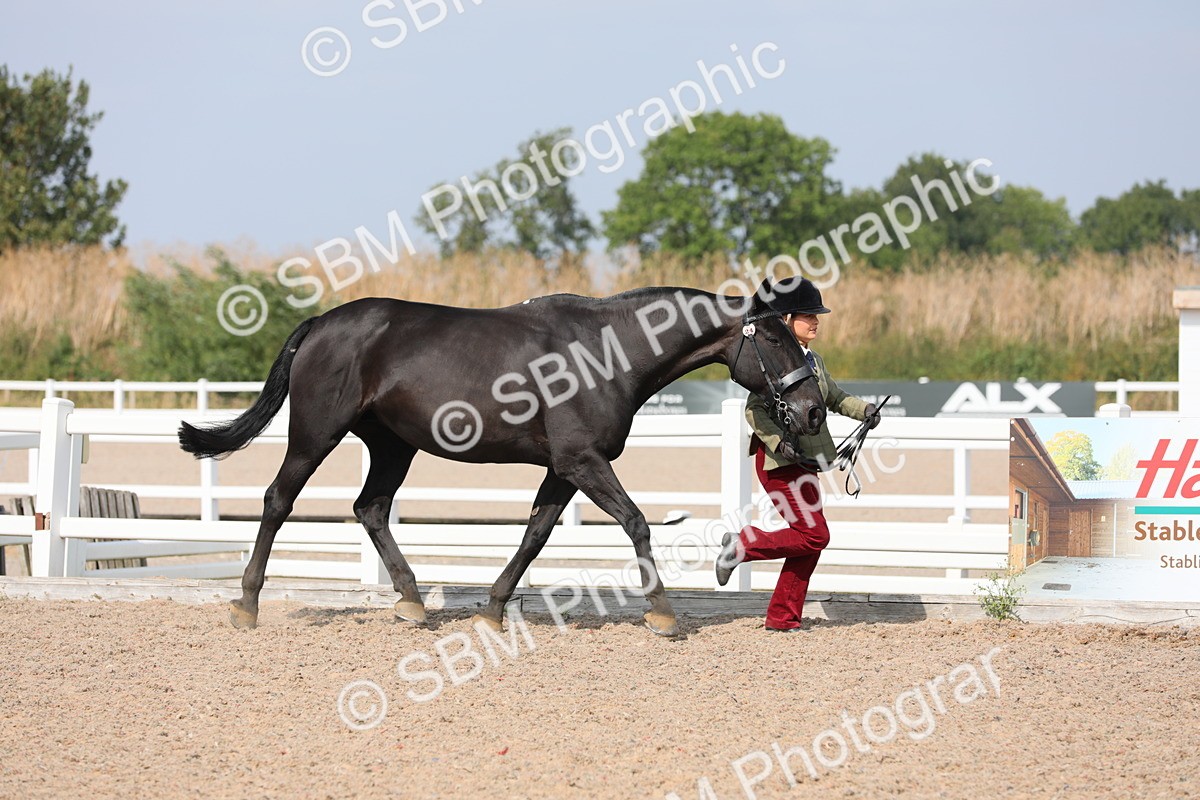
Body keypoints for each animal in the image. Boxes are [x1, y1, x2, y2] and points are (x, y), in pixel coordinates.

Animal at [178, 281, 826, 637]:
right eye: (774, 339)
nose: (813, 410)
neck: (607, 352)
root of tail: (321, 324)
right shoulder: (582, 461)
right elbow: (636, 522)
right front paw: (663, 614)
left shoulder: (563, 469)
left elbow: (535, 535)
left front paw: (490, 611)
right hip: (316, 433)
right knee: (278, 500)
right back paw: (247, 604)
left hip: (392, 445)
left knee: (371, 509)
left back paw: (412, 602)